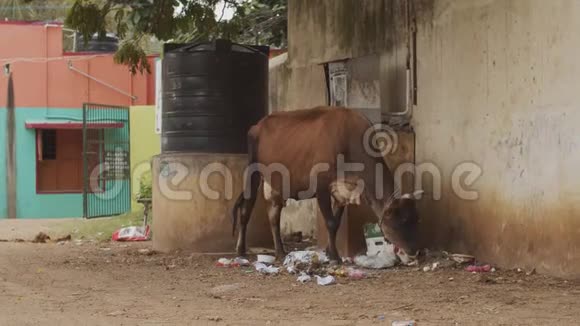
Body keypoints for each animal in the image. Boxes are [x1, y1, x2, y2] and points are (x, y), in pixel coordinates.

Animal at [232, 107, 426, 264]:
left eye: (417, 219)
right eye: (400, 222)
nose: (415, 251)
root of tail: (258, 125)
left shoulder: (342, 191)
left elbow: (336, 223)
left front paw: (329, 252)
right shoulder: (321, 185)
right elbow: (331, 222)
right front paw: (334, 257)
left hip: (275, 184)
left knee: (273, 216)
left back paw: (280, 252)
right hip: (253, 173)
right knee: (245, 211)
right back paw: (241, 251)